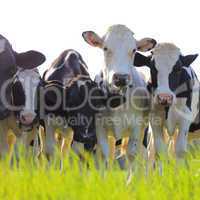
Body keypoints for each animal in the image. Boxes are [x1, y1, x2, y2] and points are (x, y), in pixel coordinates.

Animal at [81, 24, 156, 178]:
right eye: (105, 48)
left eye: (133, 50)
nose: (121, 78)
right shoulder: (99, 127)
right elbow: (105, 155)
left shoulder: (136, 126)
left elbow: (132, 154)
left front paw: (131, 181)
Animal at [134, 43, 199, 171]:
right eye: (152, 68)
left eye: (178, 69)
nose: (164, 97)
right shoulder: (155, 120)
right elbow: (161, 151)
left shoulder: (185, 119)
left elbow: (180, 150)